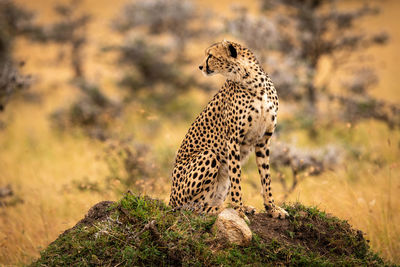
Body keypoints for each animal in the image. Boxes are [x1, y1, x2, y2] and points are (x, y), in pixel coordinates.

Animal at [169, 39, 288, 220]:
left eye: (210, 55)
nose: (200, 67)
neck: (253, 82)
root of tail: (170, 200)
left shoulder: (263, 140)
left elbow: (266, 177)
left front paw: (272, 208)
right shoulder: (233, 139)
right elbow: (237, 177)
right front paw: (238, 210)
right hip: (208, 156)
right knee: (192, 207)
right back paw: (220, 209)